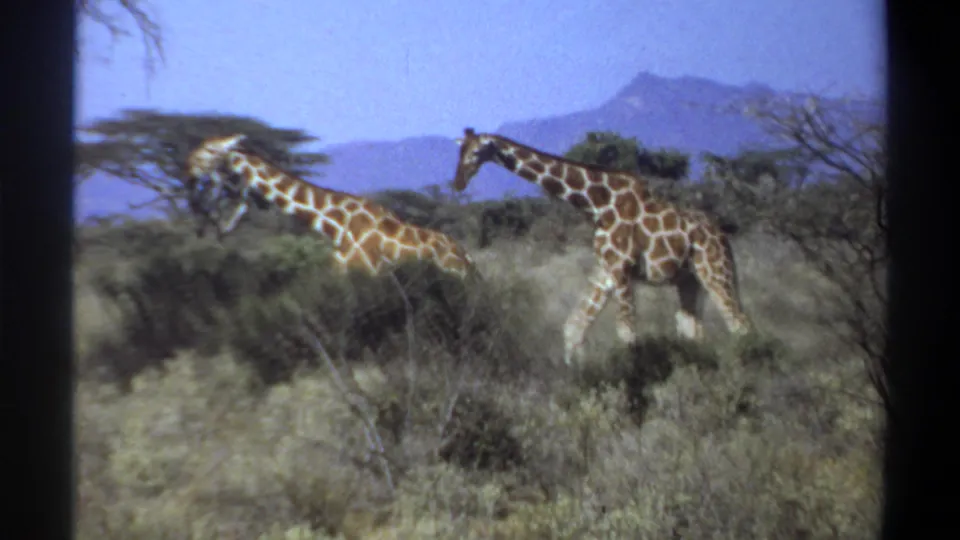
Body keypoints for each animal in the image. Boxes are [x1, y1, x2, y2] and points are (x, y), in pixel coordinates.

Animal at [451, 128, 751, 365]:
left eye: (476, 153)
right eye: (460, 150)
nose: (457, 183)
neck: (596, 203)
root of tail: (723, 237)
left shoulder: (621, 268)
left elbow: (627, 332)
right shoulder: (605, 269)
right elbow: (574, 325)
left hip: (714, 272)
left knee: (739, 323)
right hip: (688, 280)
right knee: (693, 328)